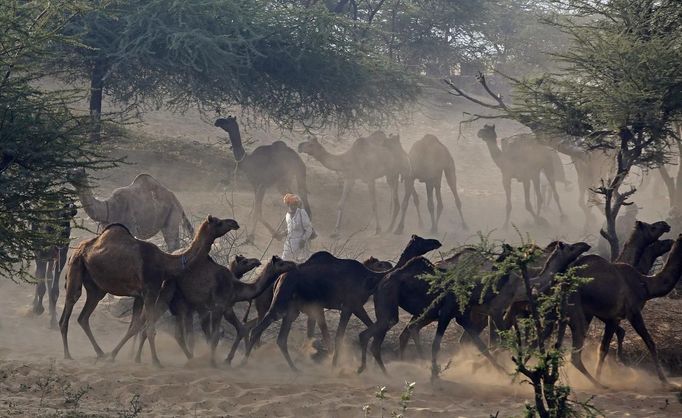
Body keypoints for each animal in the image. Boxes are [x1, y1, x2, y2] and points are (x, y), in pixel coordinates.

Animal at [31, 202, 78, 330]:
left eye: (66, 222)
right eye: (54, 222)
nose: (61, 242)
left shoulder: (61, 258)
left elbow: (55, 291)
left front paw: (53, 321)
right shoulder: (41, 255)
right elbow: (41, 284)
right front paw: (38, 308)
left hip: (52, 259)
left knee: (49, 276)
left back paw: (52, 310)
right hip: (38, 254)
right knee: (38, 275)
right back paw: (34, 304)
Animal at [59, 216, 239, 366]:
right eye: (218, 222)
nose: (234, 223)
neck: (165, 263)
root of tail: (78, 249)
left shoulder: (141, 295)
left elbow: (135, 326)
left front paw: (118, 355)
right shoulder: (150, 290)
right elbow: (150, 329)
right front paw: (156, 361)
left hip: (96, 288)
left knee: (83, 317)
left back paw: (101, 353)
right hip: (76, 266)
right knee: (69, 306)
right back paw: (67, 355)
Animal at [244, 235, 440, 370]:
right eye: (422, 241)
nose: (436, 241)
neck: (370, 278)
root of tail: (279, 278)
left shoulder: (355, 306)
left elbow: (364, 326)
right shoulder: (349, 306)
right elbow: (339, 336)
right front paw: (335, 365)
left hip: (292, 308)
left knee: (281, 338)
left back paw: (294, 368)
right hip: (280, 301)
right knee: (258, 328)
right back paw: (245, 363)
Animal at [356, 242, 588, 376]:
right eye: (569, 247)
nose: (585, 245)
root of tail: (383, 280)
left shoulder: (469, 314)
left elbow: (482, 344)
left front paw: (496, 369)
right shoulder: (491, 311)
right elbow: (492, 340)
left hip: (422, 310)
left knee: (405, 329)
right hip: (395, 303)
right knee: (395, 328)